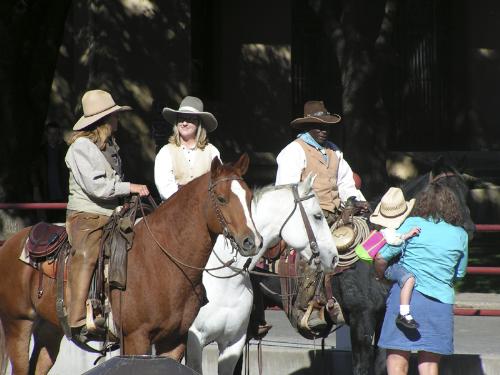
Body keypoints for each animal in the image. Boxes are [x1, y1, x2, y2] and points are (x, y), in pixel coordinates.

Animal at [0, 154, 262, 374]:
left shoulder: (175, 340)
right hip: (18, 325)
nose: (252, 241)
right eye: (221, 198)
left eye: (250, 197)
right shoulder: (136, 337)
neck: (162, 260)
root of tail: (9, 243)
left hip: (49, 330)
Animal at [236, 160, 474, 375]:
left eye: (465, 191)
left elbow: (380, 364)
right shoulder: (362, 319)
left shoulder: (382, 317)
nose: (470, 229)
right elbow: (362, 366)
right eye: (445, 192)